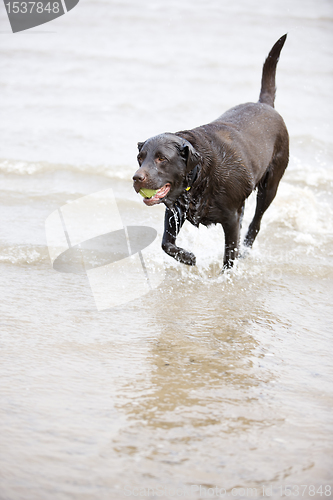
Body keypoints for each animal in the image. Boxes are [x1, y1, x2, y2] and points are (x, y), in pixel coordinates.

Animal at [132, 35, 288, 270]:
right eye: (140, 159)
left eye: (161, 158)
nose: (136, 178)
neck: (199, 177)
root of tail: (265, 104)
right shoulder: (175, 210)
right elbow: (166, 243)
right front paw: (187, 257)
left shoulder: (230, 219)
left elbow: (229, 256)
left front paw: (227, 275)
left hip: (270, 186)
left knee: (256, 222)